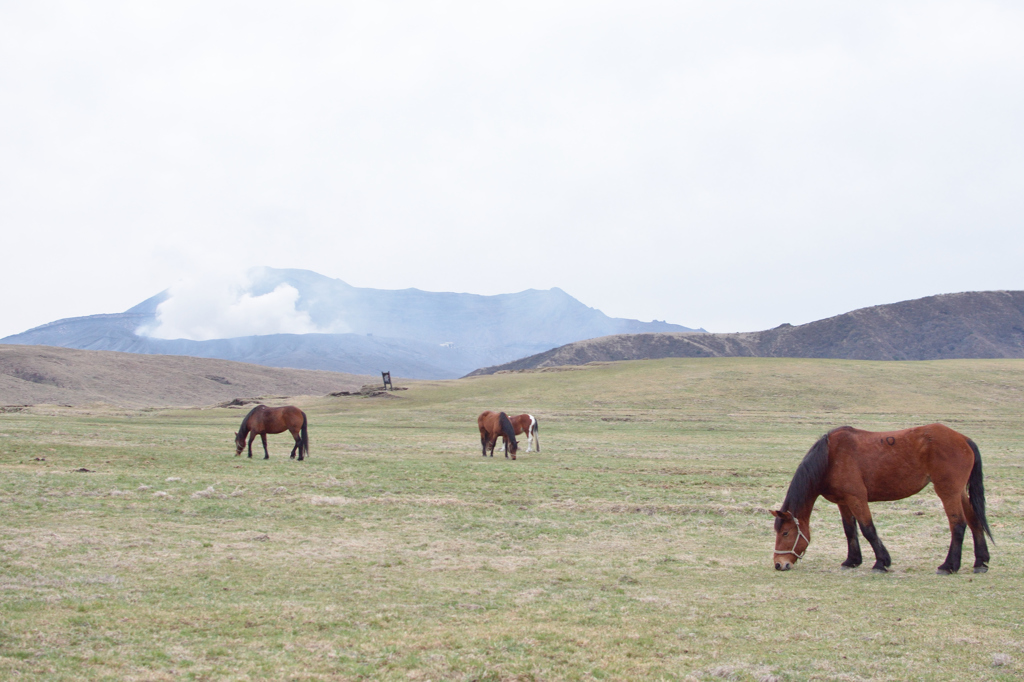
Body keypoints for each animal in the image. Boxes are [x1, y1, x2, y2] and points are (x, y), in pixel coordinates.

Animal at [770, 425, 987, 573]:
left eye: (786, 533)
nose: (779, 564)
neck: (831, 457)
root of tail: (964, 439)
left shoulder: (857, 498)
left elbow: (868, 529)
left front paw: (882, 562)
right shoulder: (844, 502)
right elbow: (850, 531)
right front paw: (852, 561)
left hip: (948, 492)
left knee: (958, 524)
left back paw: (949, 565)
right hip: (959, 493)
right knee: (975, 521)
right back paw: (981, 562)